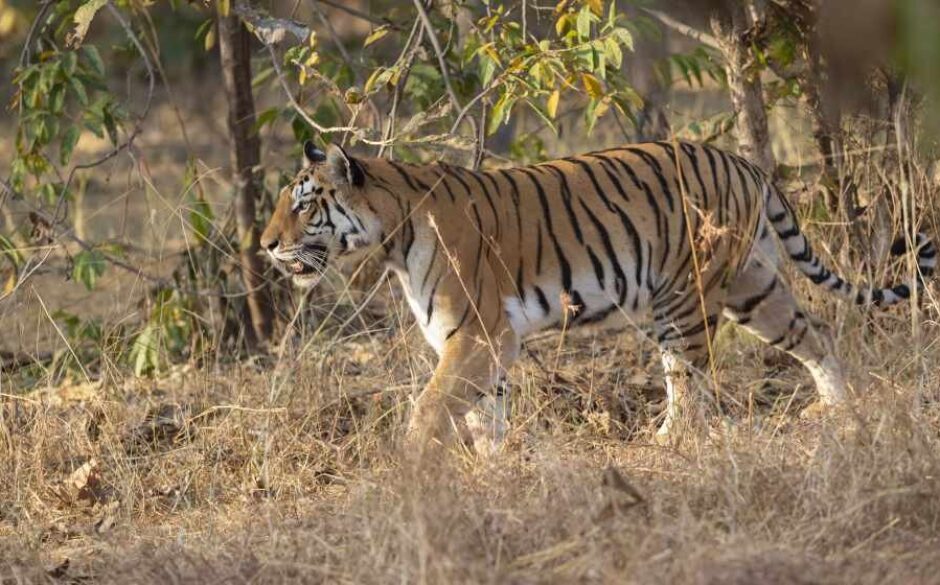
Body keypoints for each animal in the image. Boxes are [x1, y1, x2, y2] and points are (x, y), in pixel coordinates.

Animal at [260, 138, 936, 452]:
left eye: (304, 204)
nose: (266, 245)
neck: (392, 233)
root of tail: (743, 162)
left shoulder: (475, 333)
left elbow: (431, 407)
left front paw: (411, 470)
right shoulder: (487, 343)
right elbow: (485, 415)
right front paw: (495, 469)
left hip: (684, 297)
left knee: (689, 379)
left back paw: (668, 442)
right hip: (753, 286)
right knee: (815, 331)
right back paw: (841, 412)